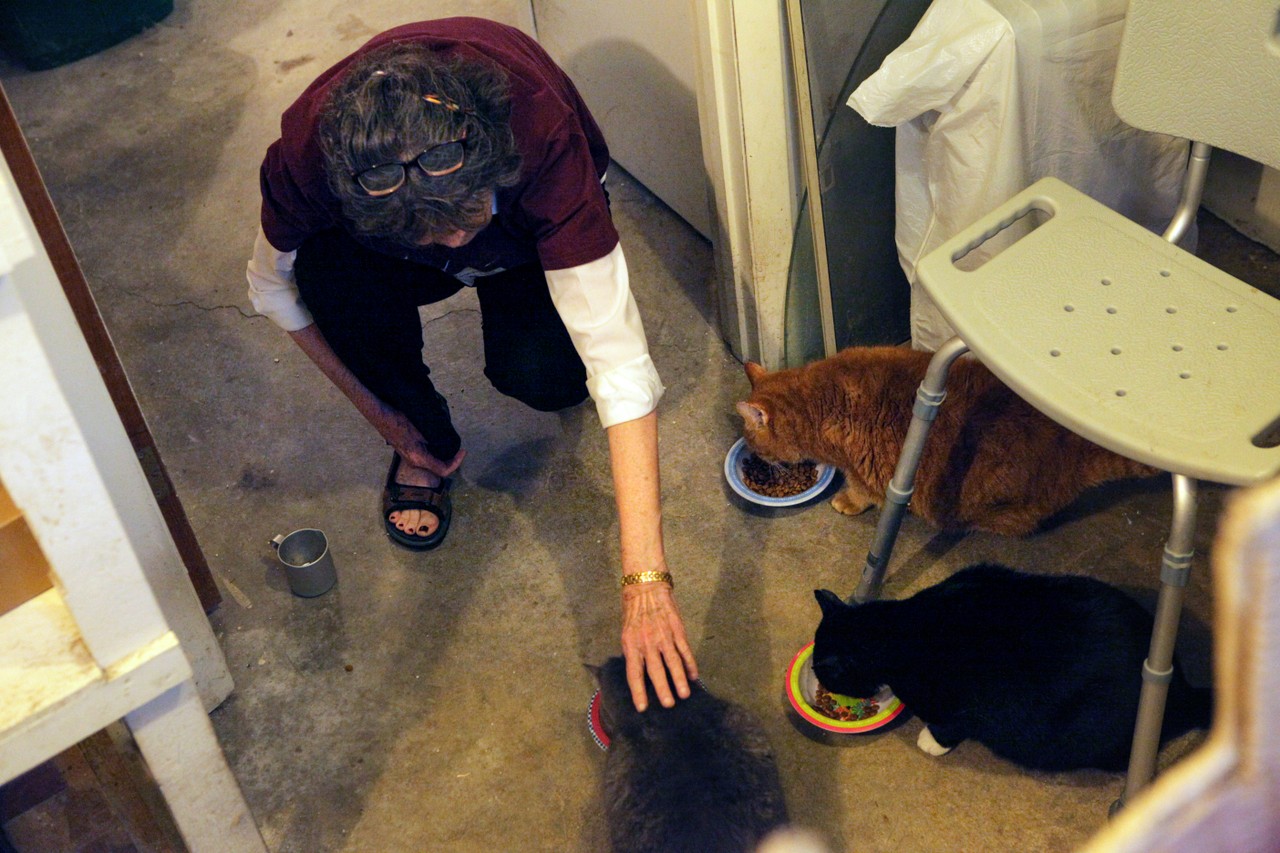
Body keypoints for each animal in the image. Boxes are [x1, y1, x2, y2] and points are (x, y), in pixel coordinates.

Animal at [736, 346, 1158, 536]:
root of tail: (1072, 442)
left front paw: (847, 501)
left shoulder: (868, 470)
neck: (820, 401)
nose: (759, 459)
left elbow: (860, 491)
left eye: (756, 447)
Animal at [811, 563, 1213, 772]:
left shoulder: (961, 698)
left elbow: (951, 723)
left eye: (824, 671)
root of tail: (1180, 690)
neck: (898, 629)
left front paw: (932, 742)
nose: (818, 678)